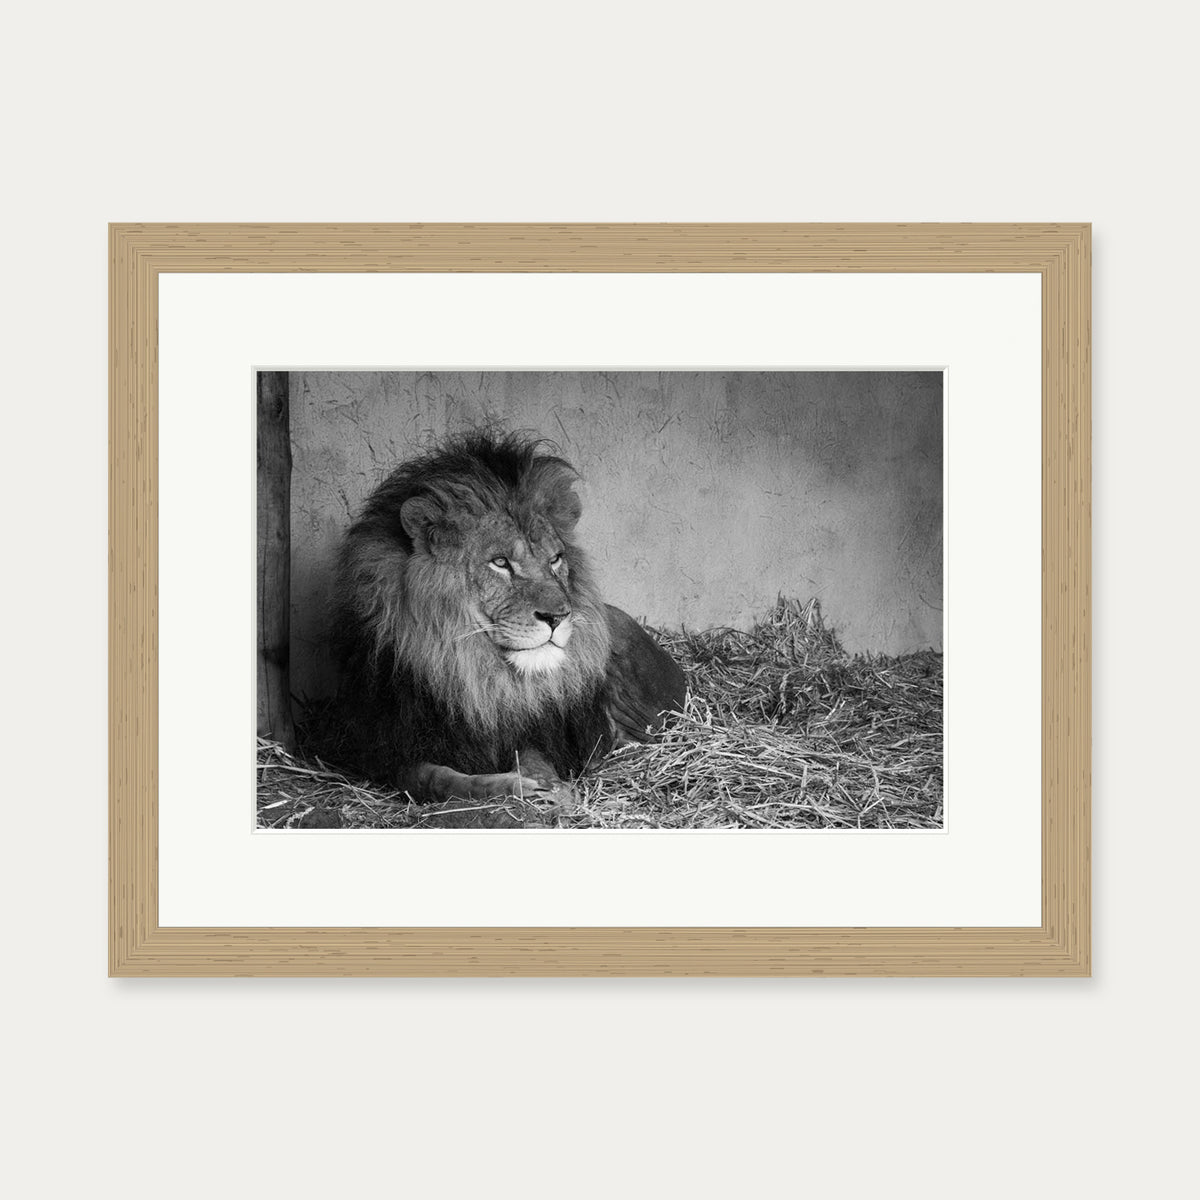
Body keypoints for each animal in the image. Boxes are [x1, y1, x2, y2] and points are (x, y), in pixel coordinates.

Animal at [333, 430, 686, 804]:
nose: (558, 616)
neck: (474, 674)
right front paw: (508, 785)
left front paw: (551, 787)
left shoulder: (537, 731)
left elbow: (534, 756)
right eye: (500, 562)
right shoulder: (388, 749)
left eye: (555, 559)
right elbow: (434, 779)